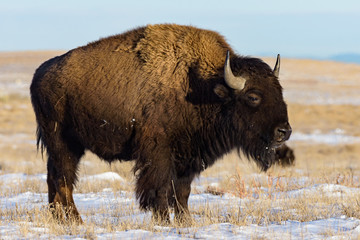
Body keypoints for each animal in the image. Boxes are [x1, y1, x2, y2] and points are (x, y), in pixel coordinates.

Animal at [31, 23, 294, 224]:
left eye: (280, 91)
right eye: (253, 96)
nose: (284, 131)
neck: (204, 86)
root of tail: (39, 75)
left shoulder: (189, 157)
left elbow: (182, 192)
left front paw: (185, 221)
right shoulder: (158, 154)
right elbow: (160, 188)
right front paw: (164, 221)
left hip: (67, 146)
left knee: (53, 177)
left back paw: (60, 219)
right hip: (62, 142)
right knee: (63, 179)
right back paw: (76, 220)